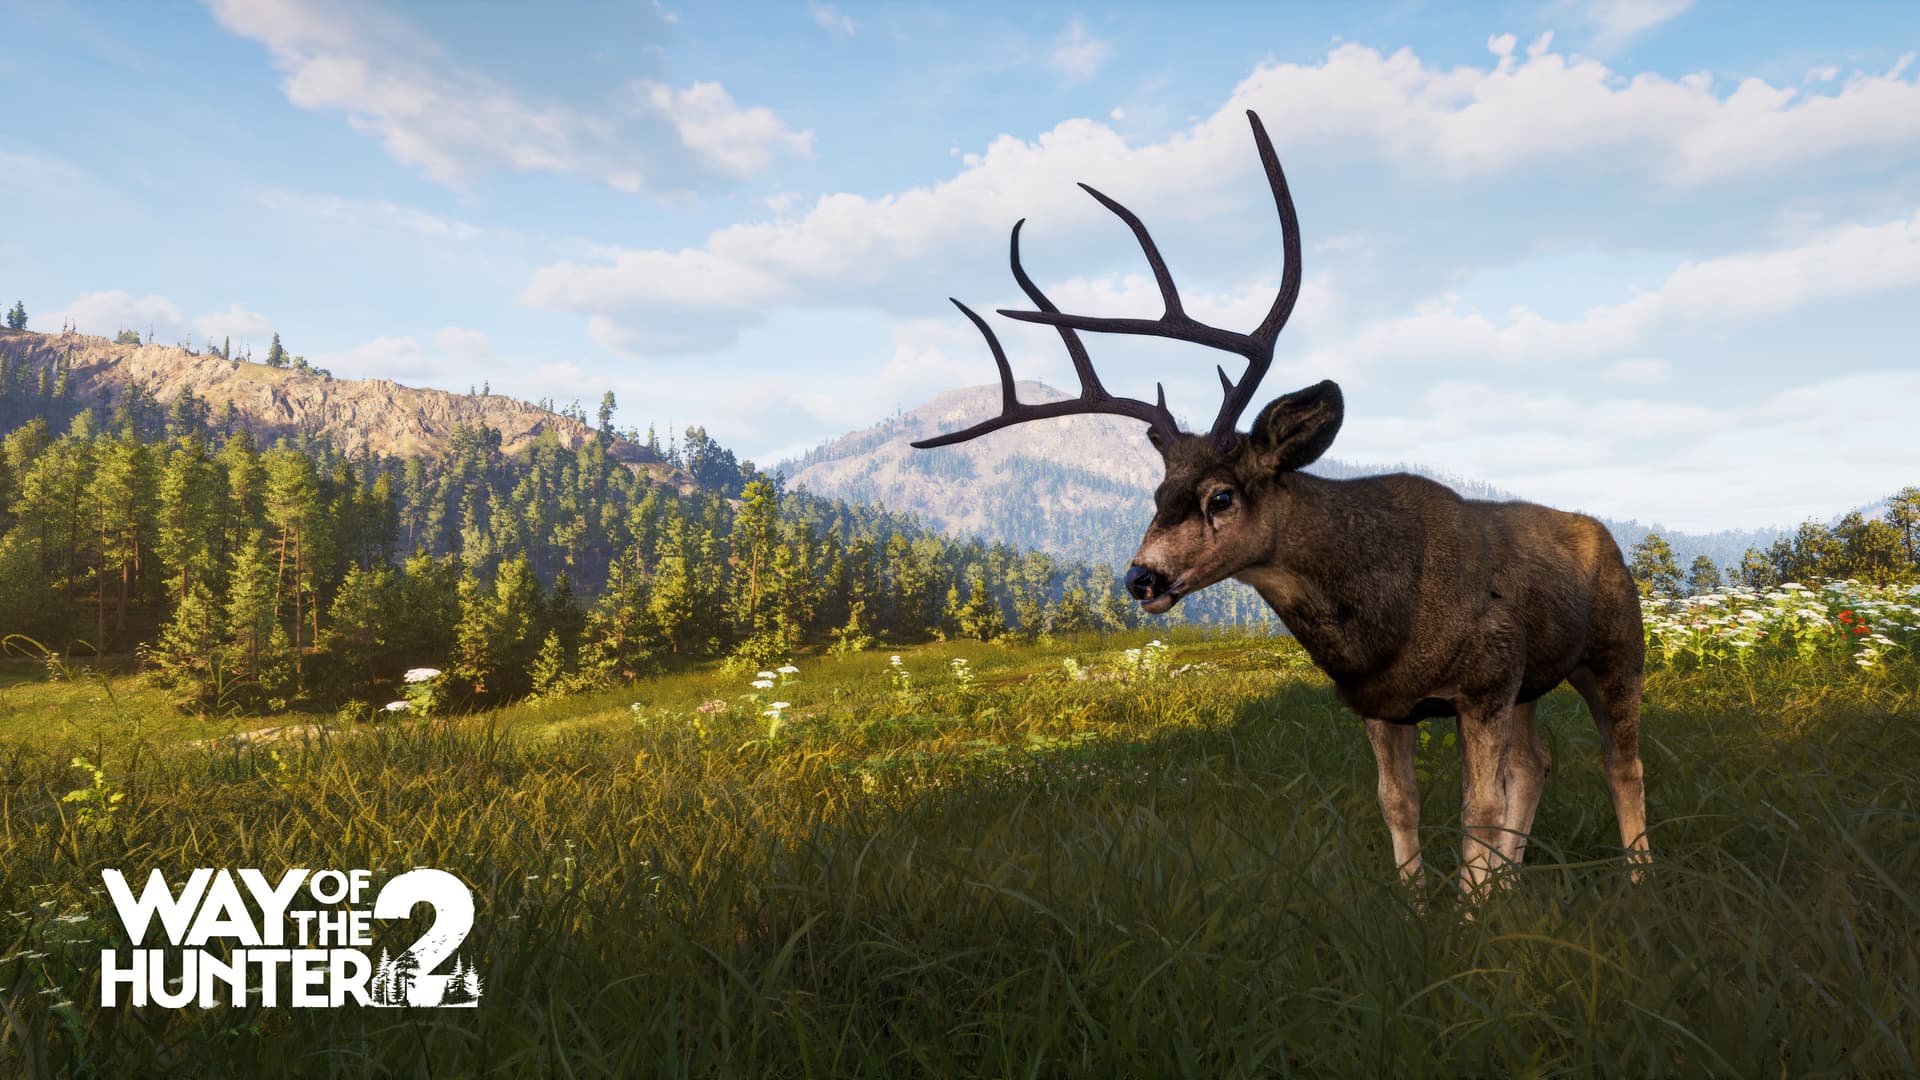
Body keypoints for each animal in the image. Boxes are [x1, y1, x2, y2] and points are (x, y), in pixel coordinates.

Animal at [912, 111, 1650, 897]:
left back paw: (1638, 878)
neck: (1381, 617)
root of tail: (1604, 536)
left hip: (1615, 647)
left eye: (1221, 495)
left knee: (1621, 761)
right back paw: (1518, 883)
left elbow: (1477, 807)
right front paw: (1424, 905)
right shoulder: (1385, 703)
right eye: (1156, 493)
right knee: (1539, 762)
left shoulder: (1484, 682)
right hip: (1535, 683)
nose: (1140, 577)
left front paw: (1471, 911)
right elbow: (1397, 802)